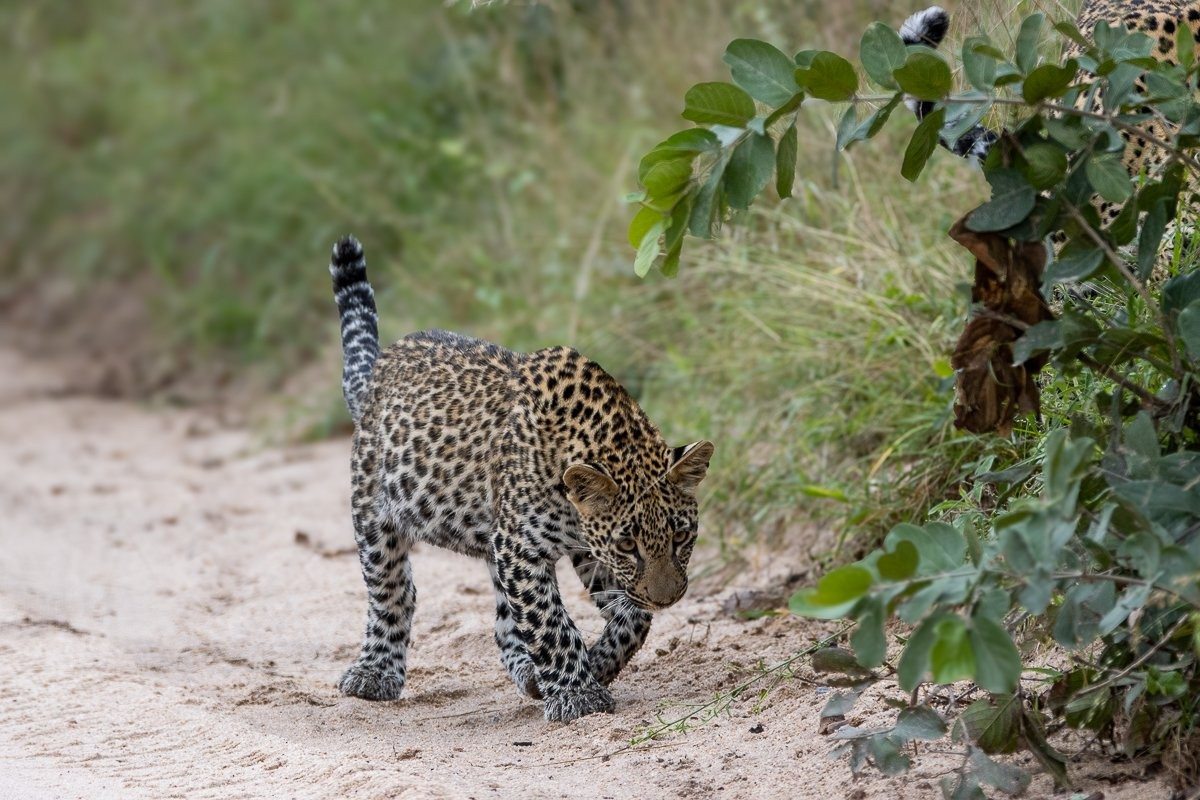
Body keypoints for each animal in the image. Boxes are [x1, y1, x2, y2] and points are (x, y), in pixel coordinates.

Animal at [327, 235, 714, 722]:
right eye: (629, 545)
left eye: (681, 537)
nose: (668, 598)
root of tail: (381, 366)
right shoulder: (522, 548)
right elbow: (550, 622)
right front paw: (578, 693)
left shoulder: (582, 552)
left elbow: (630, 617)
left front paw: (596, 665)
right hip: (375, 512)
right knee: (393, 592)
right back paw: (375, 672)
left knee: (501, 620)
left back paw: (527, 670)